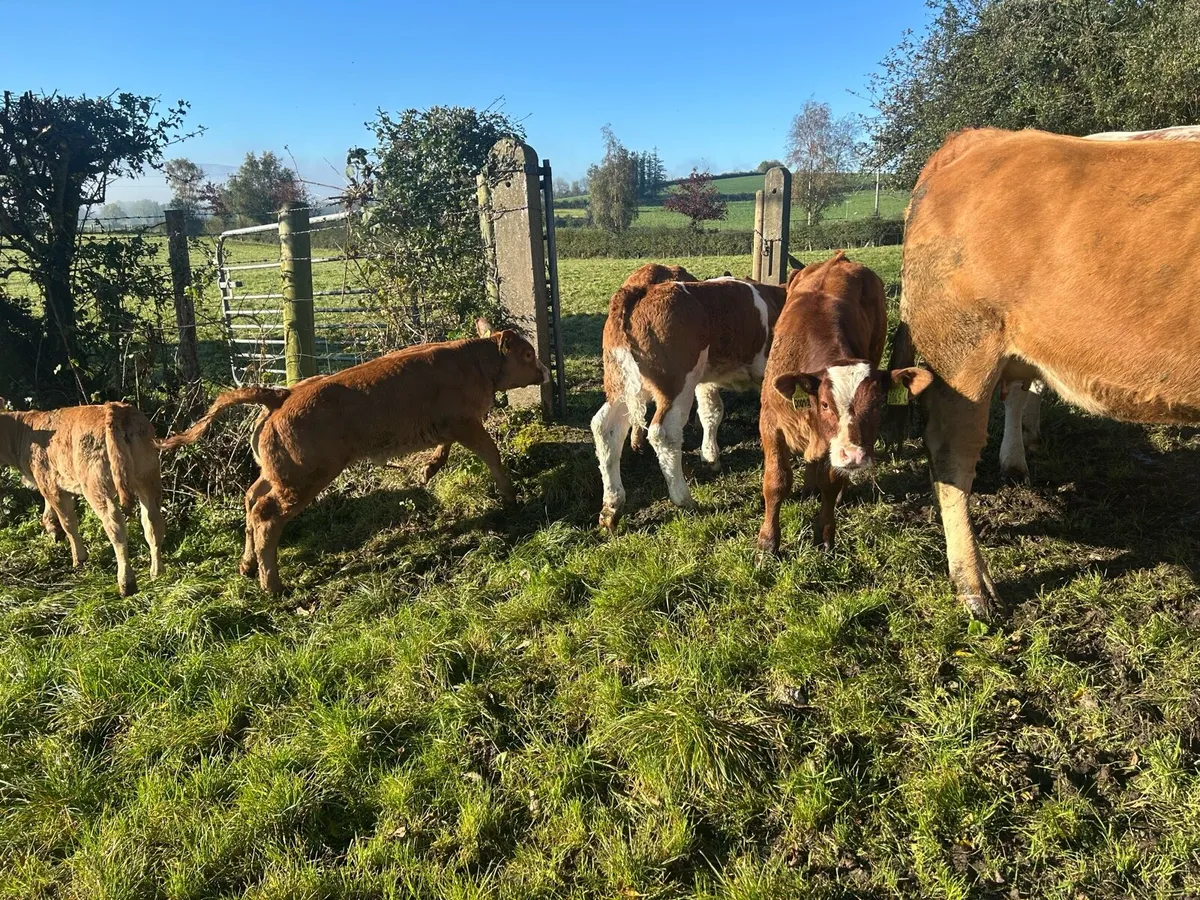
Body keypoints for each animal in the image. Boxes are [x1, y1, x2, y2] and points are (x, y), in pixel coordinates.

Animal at [0, 399, 166, 596]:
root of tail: (114, 409)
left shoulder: (49, 483)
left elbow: (68, 522)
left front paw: (78, 558)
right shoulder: (52, 483)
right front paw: (53, 529)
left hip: (95, 486)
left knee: (115, 526)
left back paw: (126, 583)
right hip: (148, 475)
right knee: (152, 522)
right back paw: (157, 572)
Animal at [161, 321, 549, 593]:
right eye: (528, 354)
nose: (544, 371)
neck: (473, 362)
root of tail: (281, 394)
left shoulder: (446, 427)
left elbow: (444, 449)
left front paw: (429, 469)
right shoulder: (466, 424)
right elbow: (492, 455)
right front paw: (510, 497)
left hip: (277, 475)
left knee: (251, 498)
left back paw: (247, 565)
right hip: (303, 479)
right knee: (265, 515)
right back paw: (272, 584)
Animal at [591, 264, 787, 532]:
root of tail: (639, 291)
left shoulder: (706, 380)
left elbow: (711, 412)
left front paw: (710, 456)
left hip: (623, 383)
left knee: (605, 429)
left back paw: (612, 506)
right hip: (675, 385)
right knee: (664, 433)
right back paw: (683, 498)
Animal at [756, 252, 932, 555]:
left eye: (878, 404)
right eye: (825, 405)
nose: (854, 457)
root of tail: (838, 259)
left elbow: (831, 481)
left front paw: (825, 534)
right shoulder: (770, 424)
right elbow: (776, 482)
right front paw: (768, 543)